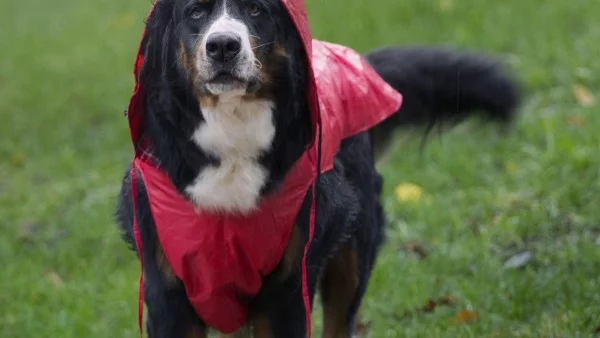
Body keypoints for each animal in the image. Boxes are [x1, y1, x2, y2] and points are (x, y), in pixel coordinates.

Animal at [116, 0, 520, 336]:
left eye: (256, 9)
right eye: (196, 12)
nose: (223, 46)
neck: (232, 131)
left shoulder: (288, 288)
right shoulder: (168, 291)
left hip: (352, 256)